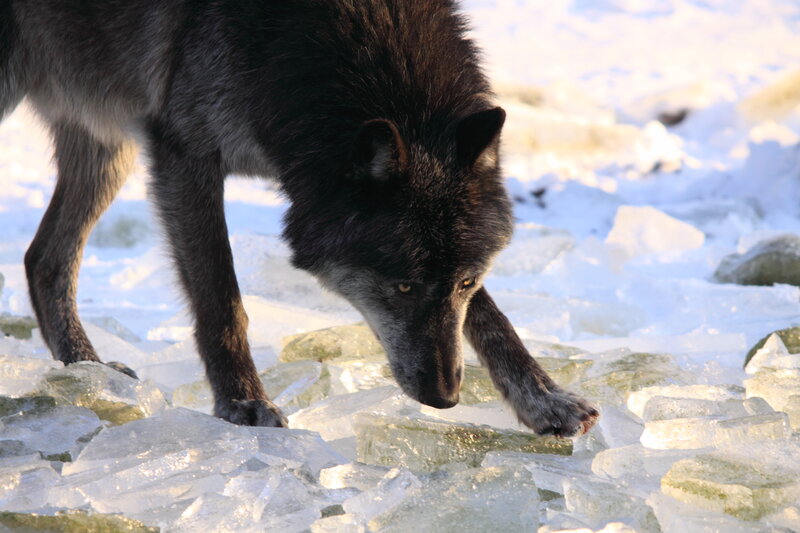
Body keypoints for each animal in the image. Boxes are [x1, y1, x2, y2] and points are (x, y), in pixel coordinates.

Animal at [1, 0, 598, 436]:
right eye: (402, 287)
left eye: (467, 282)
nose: (446, 396)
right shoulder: (184, 155)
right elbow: (222, 299)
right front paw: (244, 403)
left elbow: (493, 319)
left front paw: (546, 399)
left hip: (107, 146)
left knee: (43, 258)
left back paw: (89, 373)